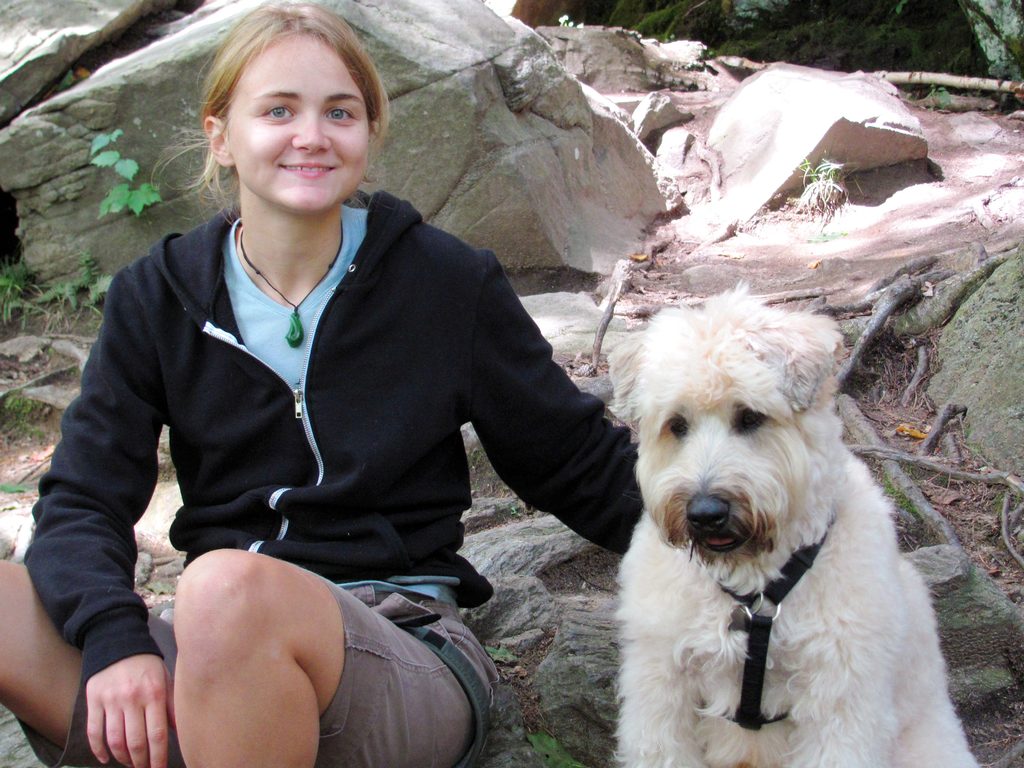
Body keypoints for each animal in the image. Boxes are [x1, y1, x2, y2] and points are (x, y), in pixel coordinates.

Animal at [606, 290, 974, 768]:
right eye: (677, 424)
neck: (756, 588)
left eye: (749, 417)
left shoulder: (841, 701)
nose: (705, 512)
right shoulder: (661, 689)